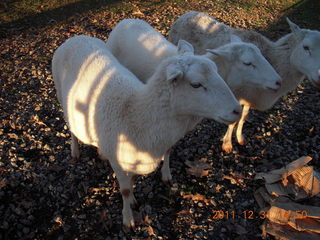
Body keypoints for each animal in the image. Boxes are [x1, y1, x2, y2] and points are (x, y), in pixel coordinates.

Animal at [52, 34, 240, 228]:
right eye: (195, 84)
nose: (238, 110)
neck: (137, 115)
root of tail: (77, 37)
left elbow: (133, 181)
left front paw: (133, 201)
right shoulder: (118, 163)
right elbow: (125, 190)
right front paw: (128, 219)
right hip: (61, 95)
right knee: (71, 128)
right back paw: (75, 151)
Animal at [169, 11, 318, 152]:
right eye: (306, 47)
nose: (319, 77)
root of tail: (187, 14)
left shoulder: (248, 97)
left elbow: (243, 117)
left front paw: (239, 137)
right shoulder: (236, 95)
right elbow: (234, 120)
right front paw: (227, 144)